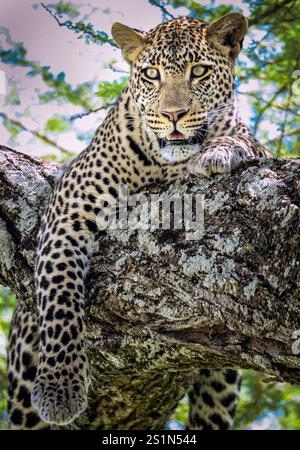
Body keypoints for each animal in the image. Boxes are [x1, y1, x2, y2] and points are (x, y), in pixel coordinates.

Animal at [6, 12, 270, 430]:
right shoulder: (68, 206)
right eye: (151, 74)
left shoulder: (258, 148)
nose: (173, 114)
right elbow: (61, 294)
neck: (163, 163)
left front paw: (218, 151)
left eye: (199, 71)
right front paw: (59, 387)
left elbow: (242, 140)